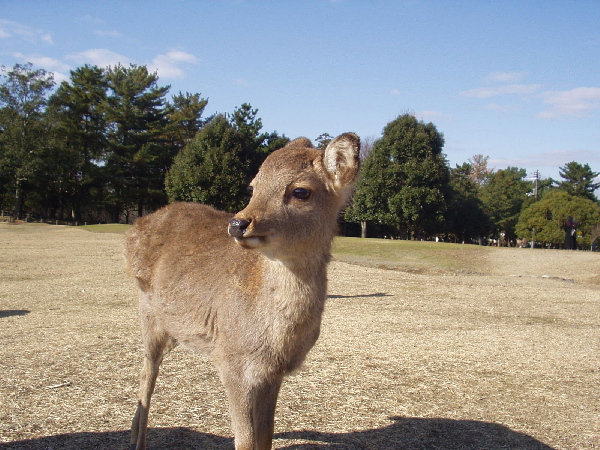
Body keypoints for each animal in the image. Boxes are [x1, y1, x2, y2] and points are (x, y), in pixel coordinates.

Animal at [124, 132, 360, 450]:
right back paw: (137, 440)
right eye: (253, 186)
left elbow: (266, 435)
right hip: (148, 314)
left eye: (301, 191)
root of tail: (136, 226)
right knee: (147, 372)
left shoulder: (271, 374)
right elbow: (246, 440)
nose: (238, 223)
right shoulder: (231, 360)